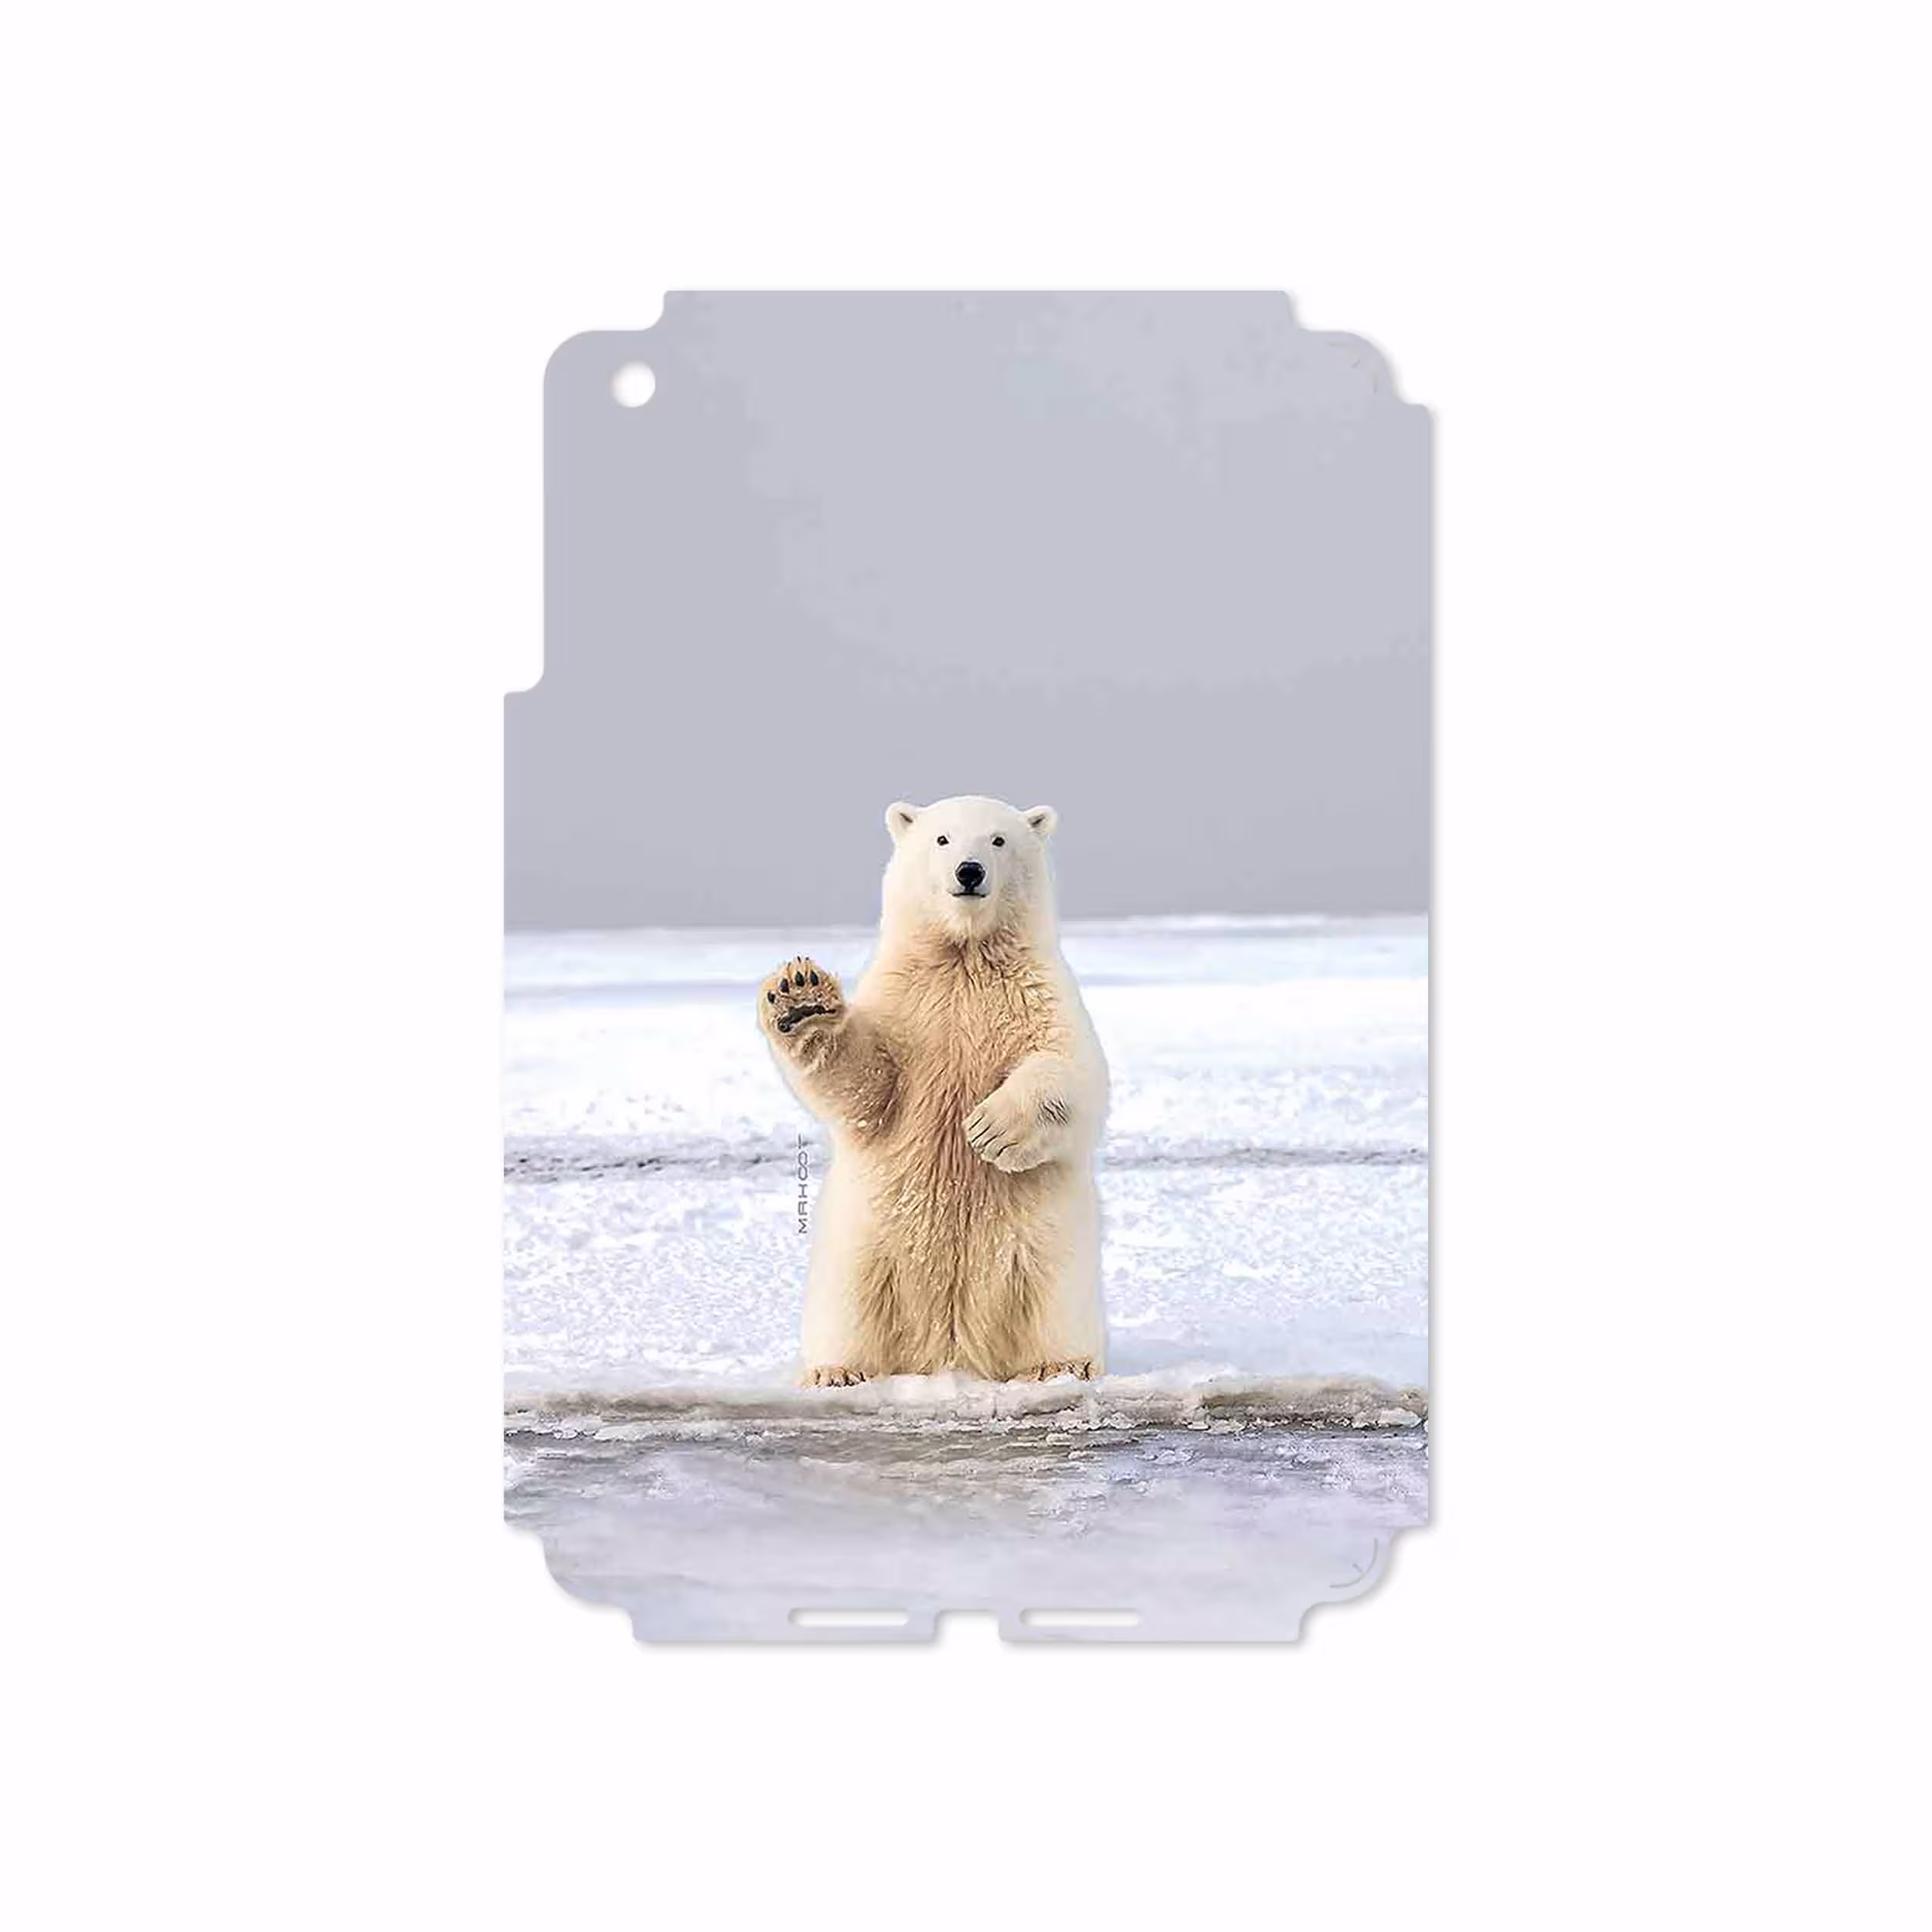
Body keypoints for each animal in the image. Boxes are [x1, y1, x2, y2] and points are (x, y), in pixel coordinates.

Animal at [758, 795, 1108, 1386]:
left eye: (998, 840)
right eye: (942, 839)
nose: (969, 872)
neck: (964, 956)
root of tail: (950, 1352)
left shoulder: (1040, 994)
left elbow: (1074, 1071)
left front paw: (990, 1129)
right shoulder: (905, 1003)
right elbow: (867, 1085)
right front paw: (800, 999)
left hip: (1049, 1249)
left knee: (1054, 1298)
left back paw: (1060, 1365)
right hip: (863, 1247)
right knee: (848, 1306)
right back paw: (837, 1371)